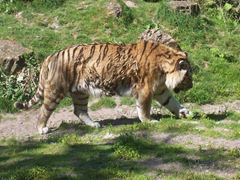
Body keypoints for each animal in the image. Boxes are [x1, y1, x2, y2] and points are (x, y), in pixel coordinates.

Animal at [13, 40, 193, 134]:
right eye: (189, 76)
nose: (191, 86)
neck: (165, 67)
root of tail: (50, 57)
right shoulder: (145, 89)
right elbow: (144, 108)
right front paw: (149, 121)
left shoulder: (161, 89)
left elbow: (172, 102)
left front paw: (185, 112)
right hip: (55, 91)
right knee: (44, 110)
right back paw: (42, 129)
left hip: (80, 92)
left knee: (79, 111)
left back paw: (94, 125)